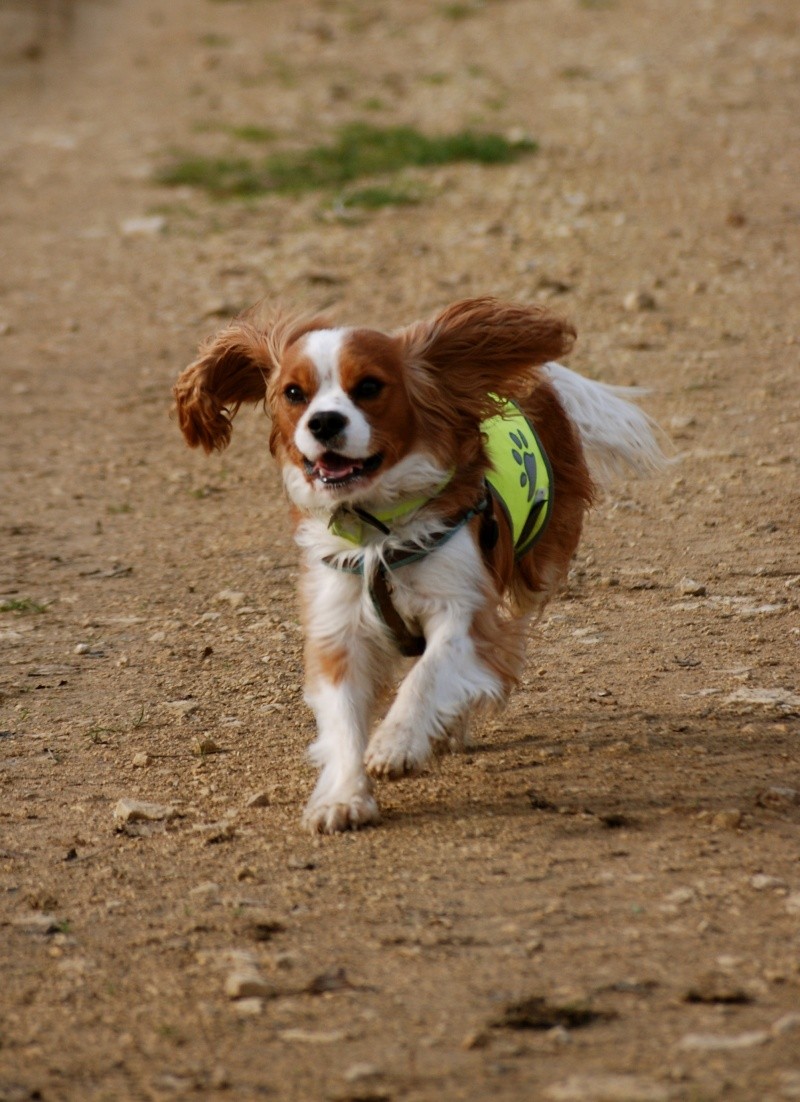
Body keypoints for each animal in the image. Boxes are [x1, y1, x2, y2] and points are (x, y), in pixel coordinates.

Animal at [174, 297, 665, 828]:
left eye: (369, 387)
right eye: (293, 393)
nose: (323, 422)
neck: (377, 534)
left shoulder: (465, 608)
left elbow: (429, 674)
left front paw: (398, 741)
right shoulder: (338, 626)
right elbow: (343, 717)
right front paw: (343, 796)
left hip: (534, 568)